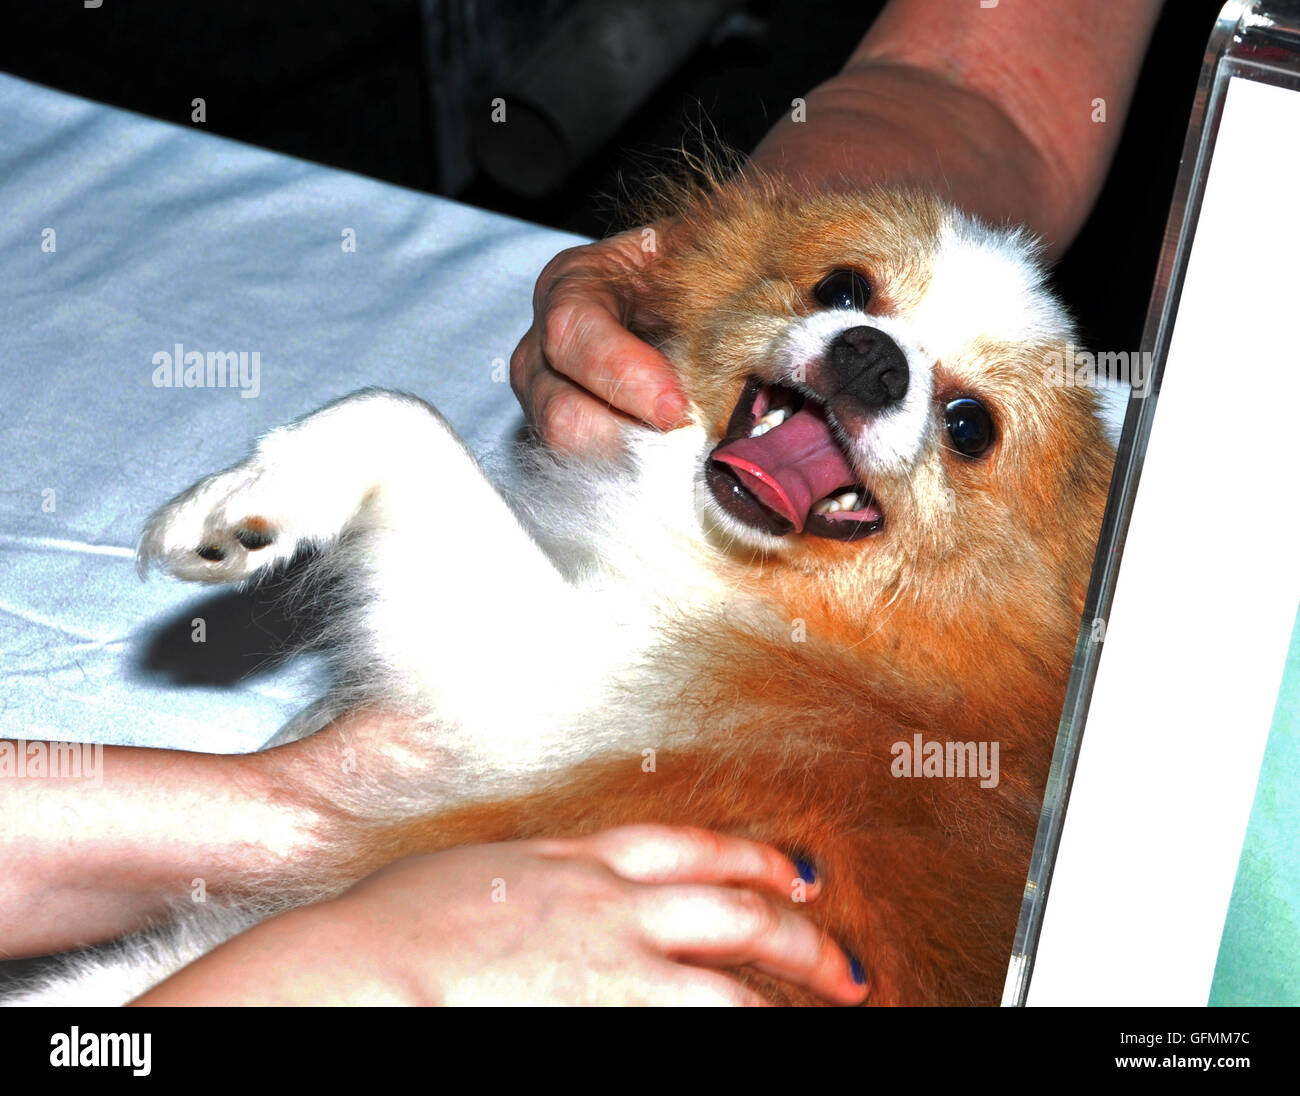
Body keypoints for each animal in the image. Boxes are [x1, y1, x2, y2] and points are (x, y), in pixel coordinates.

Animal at [10, 175, 1112, 1008]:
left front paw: (244, 501)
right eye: (844, 286)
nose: (871, 355)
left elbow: (400, 417)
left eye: (970, 427)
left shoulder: (561, 683)